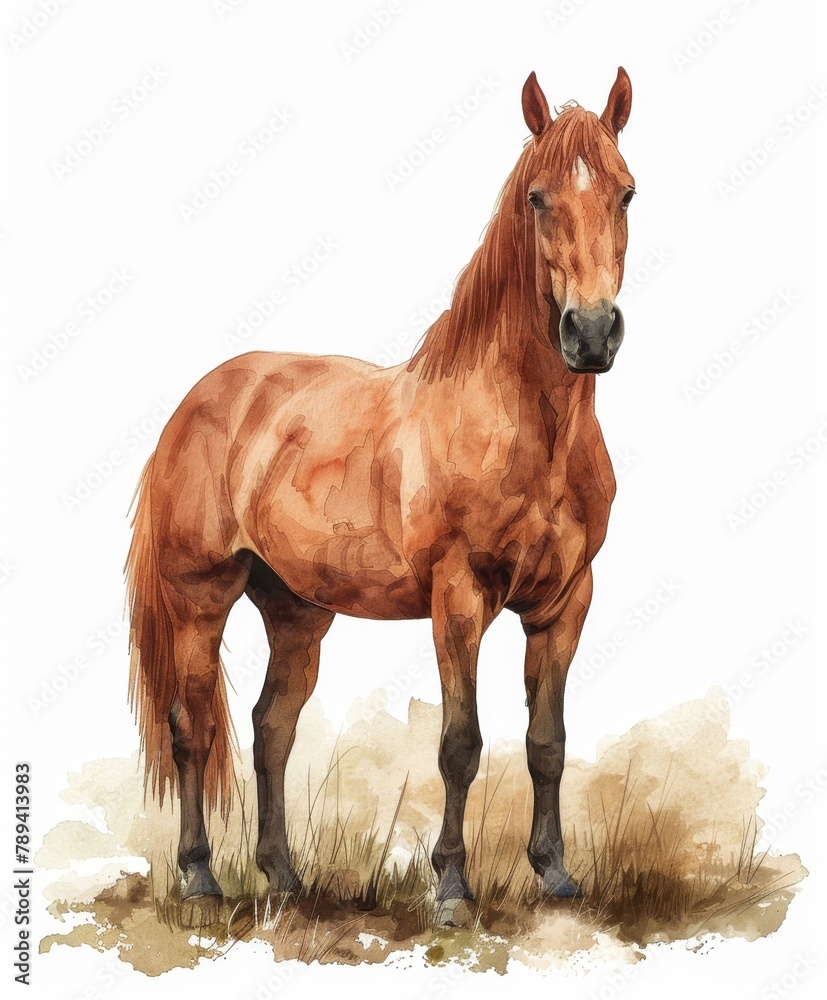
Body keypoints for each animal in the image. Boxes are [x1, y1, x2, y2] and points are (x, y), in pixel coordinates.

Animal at [126, 67, 635, 925]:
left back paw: (284, 877)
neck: (520, 426)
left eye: (626, 193)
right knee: (191, 728)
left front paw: (556, 875)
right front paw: (452, 890)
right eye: (536, 197)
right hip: (200, 597)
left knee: (270, 729)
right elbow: (460, 745)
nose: (591, 334)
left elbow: (547, 743)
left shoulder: (565, 602)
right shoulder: (457, 598)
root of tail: (201, 399)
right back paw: (200, 877)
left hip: (296, 610)